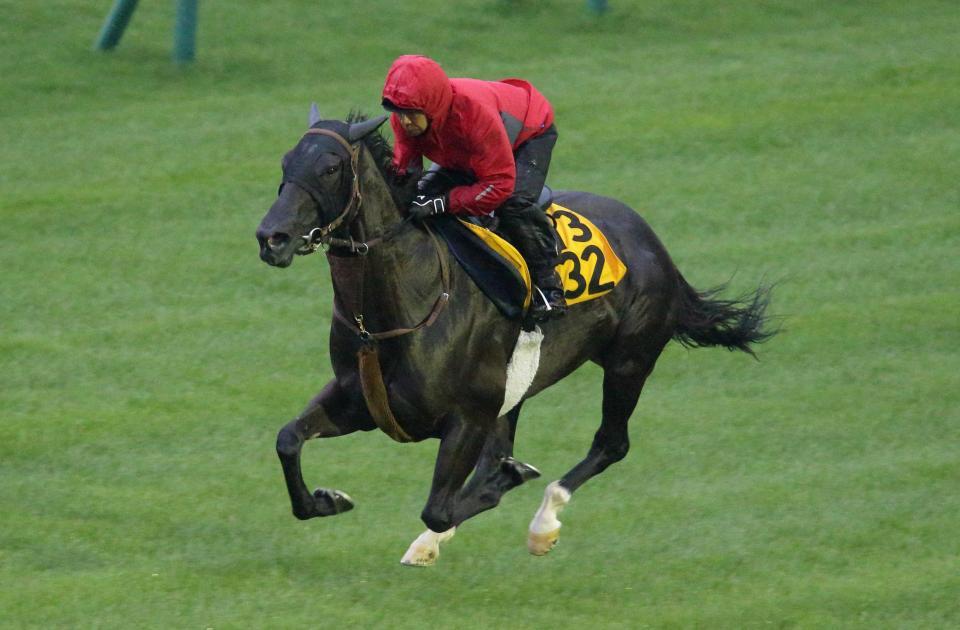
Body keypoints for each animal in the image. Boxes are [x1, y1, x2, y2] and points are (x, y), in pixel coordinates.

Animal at [253, 110, 772, 568]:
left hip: (630, 359)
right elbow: (288, 440)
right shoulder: (362, 404)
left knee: (611, 444)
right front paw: (328, 499)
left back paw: (542, 524)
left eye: (330, 168)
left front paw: (498, 490)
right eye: (284, 162)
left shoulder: (469, 415)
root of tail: (654, 244)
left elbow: (443, 505)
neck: (401, 306)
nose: (270, 237)